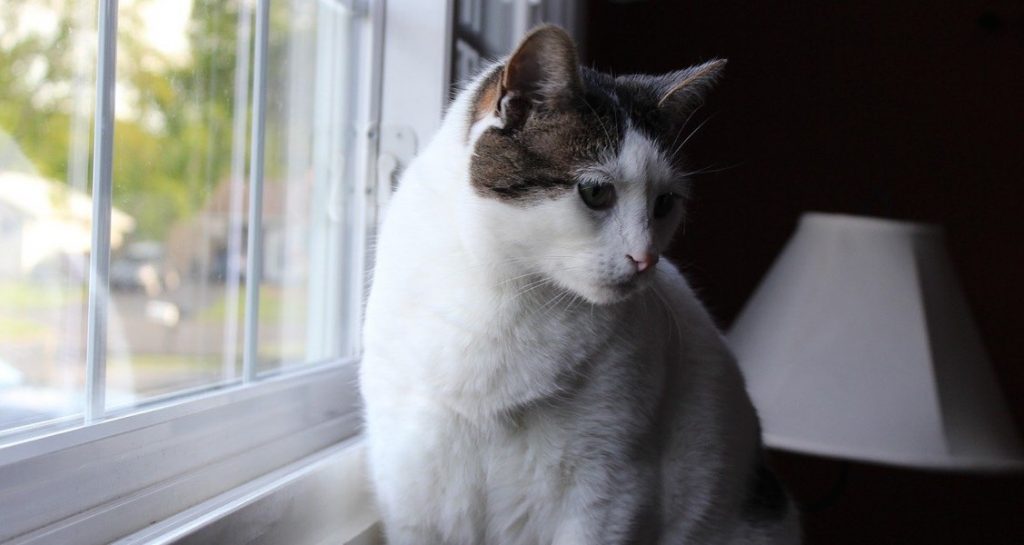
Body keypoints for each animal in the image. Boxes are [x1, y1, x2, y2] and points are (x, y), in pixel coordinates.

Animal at [360, 23, 798, 540]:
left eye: (664, 204)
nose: (646, 259)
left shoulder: (608, 486)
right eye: (594, 192)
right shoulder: (410, 475)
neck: (506, 291)